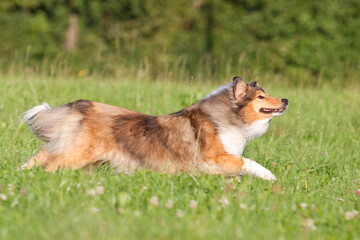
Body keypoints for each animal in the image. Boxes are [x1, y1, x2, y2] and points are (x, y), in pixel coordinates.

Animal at [21, 76, 286, 180]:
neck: (228, 117)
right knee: (50, 164)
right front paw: (272, 178)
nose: (285, 100)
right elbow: (247, 162)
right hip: (77, 154)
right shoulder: (212, 158)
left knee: (42, 155)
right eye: (261, 97)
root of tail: (84, 106)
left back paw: (20, 173)